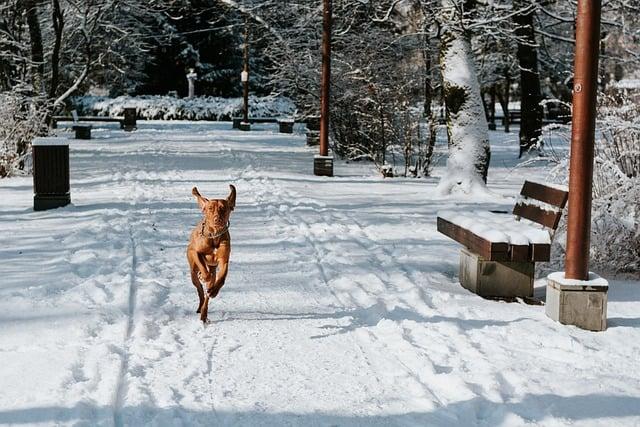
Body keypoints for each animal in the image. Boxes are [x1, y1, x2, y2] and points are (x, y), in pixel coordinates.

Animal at [186, 186, 236, 322]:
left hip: (213, 269)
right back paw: (200, 307)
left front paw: (214, 291)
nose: (217, 219)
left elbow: (222, 278)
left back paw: (204, 311)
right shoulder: (195, 252)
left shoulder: (224, 260)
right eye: (210, 209)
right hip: (192, 271)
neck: (214, 235)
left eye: (223, 208)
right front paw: (204, 276)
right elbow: (203, 268)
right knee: (200, 290)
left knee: (208, 291)